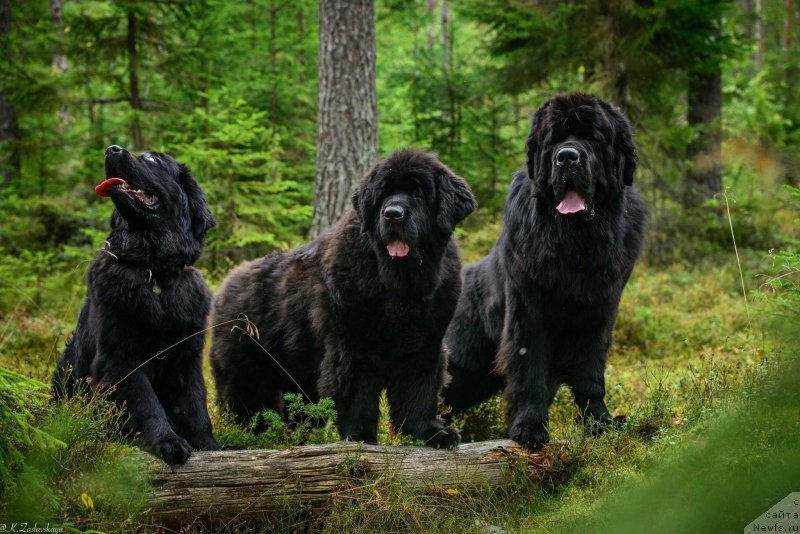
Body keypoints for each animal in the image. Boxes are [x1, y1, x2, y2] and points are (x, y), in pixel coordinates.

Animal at [212, 149, 476, 450]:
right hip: (248, 374)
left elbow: (420, 393)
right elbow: (358, 393)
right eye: (384, 194)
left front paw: (431, 434)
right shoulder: (352, 346)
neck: (399, 284)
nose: (392, 214)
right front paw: (360, 438)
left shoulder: (425, 345)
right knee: (250, 408)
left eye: (419, 193)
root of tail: (224, 286)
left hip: (300, 380)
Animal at [444, 94, 648, 450]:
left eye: (593, 137)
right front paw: (530, 428)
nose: (566, 156)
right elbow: (529, 368)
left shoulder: (600, 311)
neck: (576, 241)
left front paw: (601, 422)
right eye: (553, 140)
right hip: (462, 361)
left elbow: (590, 372)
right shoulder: (529, 311)